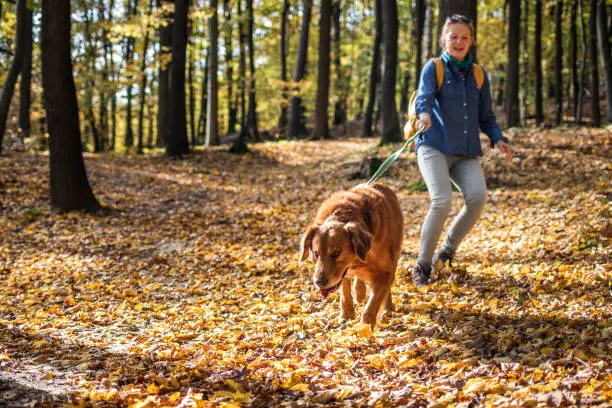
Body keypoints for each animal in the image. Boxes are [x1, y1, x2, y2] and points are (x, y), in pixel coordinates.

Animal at [298, 183, 404, 326]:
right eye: (316, 253)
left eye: (336, 253)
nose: (319, 282)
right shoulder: (343, 274)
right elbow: (345, 293)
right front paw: (347, 316)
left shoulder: (385, 272)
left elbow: (373, 302)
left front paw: (365, 325)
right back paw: (359, 293)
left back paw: (387, 307)